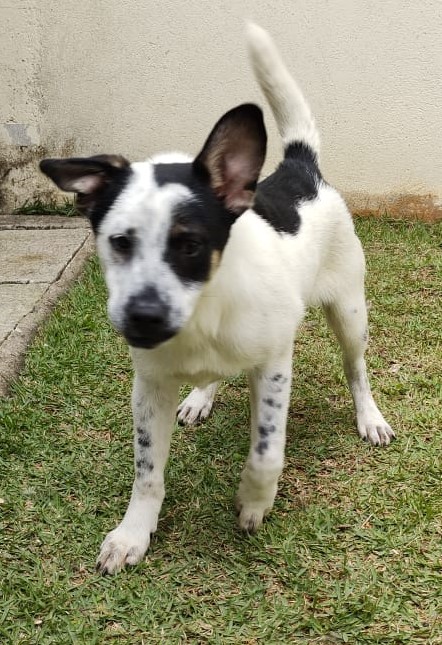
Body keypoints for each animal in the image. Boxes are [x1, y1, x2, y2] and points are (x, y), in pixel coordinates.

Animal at [40, 23, 394, 572]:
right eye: (119, 242)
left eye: (190, 244)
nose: (142, 318)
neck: (204, 311)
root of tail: (300, 168)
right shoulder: (149, 385)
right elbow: (146, 470)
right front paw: (133, 532)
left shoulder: (274, 365)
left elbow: (266, 452)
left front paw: (254, 502)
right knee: (218, 375)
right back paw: (201, 397)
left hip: (350, 311)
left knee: (355, 368)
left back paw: (369, 416)